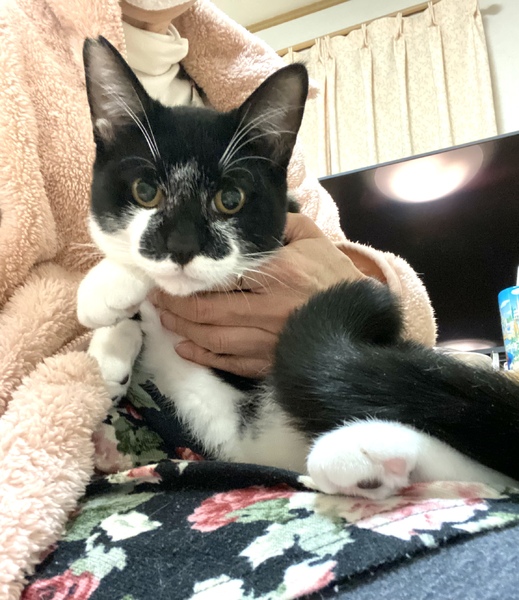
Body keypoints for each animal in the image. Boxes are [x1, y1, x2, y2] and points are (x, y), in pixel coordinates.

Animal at [78, 37, 519, 500]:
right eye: (145, 191)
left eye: (230, 199)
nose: (181, 247)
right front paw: (110, 347)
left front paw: (109, 285)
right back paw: (371, 464)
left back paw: (361, 450)